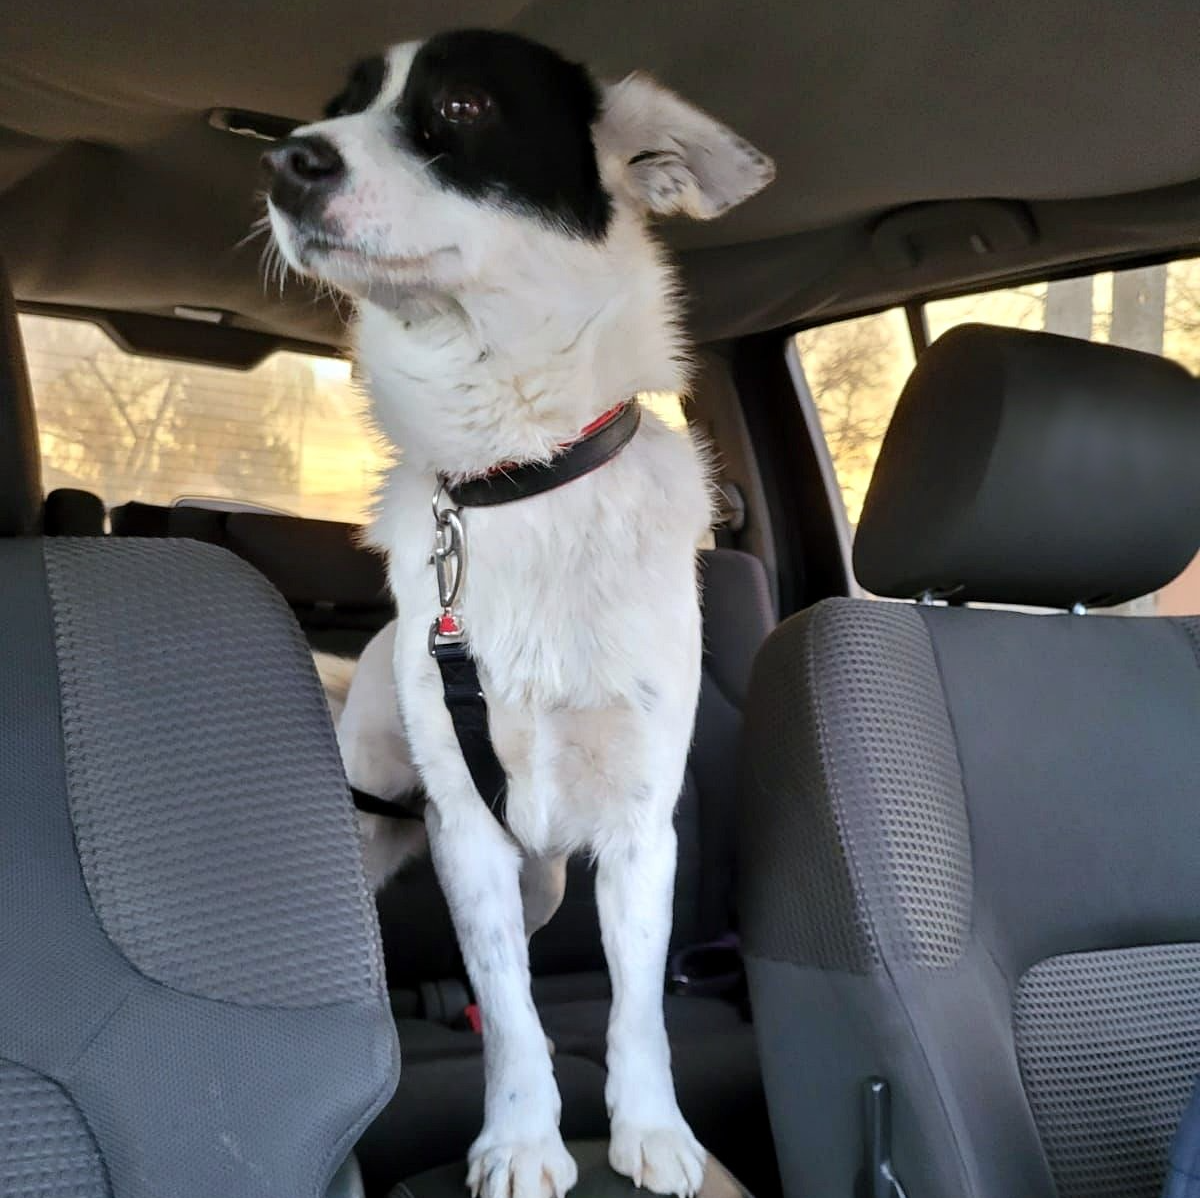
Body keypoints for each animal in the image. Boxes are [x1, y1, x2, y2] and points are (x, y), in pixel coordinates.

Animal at [264, 29, 773, 1198]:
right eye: (340, 104)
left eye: (462, 103)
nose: (286, 163)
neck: (522, 476)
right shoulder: (466, 831)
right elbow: (511, 1017)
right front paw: (521, 1138)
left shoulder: (642, 825)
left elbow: (635, 1007)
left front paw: (654, 1130)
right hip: (375, 817)